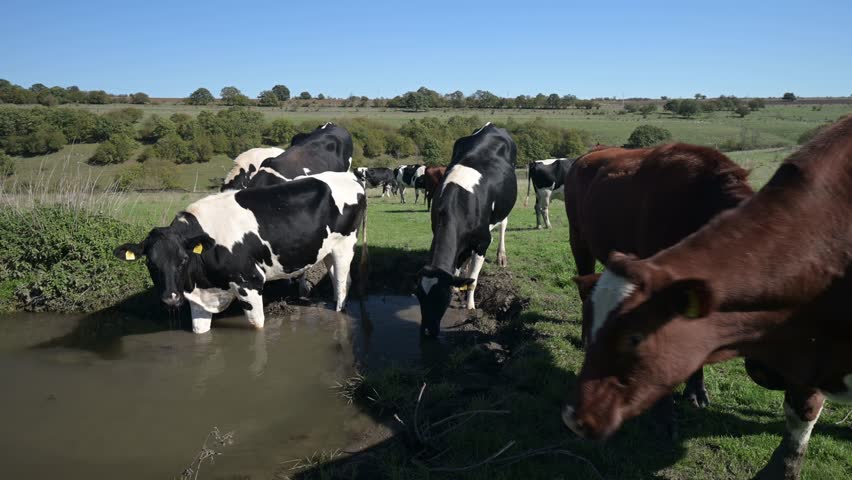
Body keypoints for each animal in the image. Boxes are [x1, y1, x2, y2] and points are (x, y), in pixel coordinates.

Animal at [114, 171, 367, 334]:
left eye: (183, 259)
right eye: (150, 263)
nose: (171, 298)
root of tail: (350, 177)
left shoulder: (250, 282)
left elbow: (257, 326)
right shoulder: (199, 298)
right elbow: (200, 333)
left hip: (345, 245)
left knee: (342, 284)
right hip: (328, 250)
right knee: (339, 280)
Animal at [415, 123, 516, 337]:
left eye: (441, 298)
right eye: (419, 296)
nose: (427, 331)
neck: (458, 204)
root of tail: (490, 126)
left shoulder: (482, 242)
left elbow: (473, 280)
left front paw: (470, 305)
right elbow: (457, 267)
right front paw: (457, 285)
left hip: (505, 207)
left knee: (503, 225)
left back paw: (501, 257)